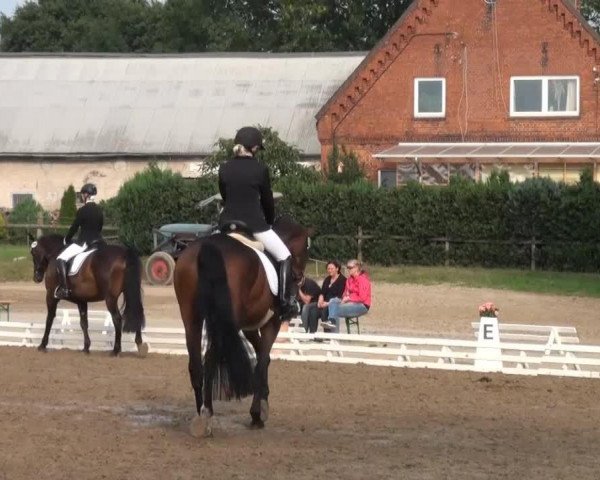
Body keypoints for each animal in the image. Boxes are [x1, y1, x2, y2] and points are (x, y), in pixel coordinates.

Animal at [173, 215, 312, 436]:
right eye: (306, 248)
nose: (299, 279)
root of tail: (206, 249)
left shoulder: (248, 327)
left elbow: (264, 358)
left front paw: (263, 401)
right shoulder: (271, 323)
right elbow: (262, 361)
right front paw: (258, 413)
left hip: (191, 318)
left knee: (196, 365)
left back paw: (200, 418)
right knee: (210, 360)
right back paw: (207, 416)